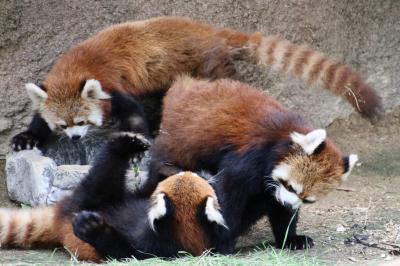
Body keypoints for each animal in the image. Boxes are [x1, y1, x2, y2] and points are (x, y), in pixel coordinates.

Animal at [0, 132, 227, 260]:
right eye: (187, 175)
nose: (193, 172)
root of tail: (61, 213)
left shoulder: (151, 248)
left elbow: (117, 250)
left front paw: (91, 227)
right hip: (119, 195)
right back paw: (134, 146)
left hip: (90, 195)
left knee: (100, 176)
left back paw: (121, 147)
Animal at [11, 16, 382, 150]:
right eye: (63, 125)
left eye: (82, 121)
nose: (75, 138)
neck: (76, 66)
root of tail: (208, 31)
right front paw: (26, 138)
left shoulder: (111, 84)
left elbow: (131, 109)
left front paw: (140, 136)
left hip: (209, 65)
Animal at [145, 76, 360, 252]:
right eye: (290, 186)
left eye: (307, 200)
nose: (286, 202)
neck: (282, 136)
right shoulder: (248, 158)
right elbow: (228, 195)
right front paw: (222, 241)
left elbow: (280, 211)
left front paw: (290, 238)